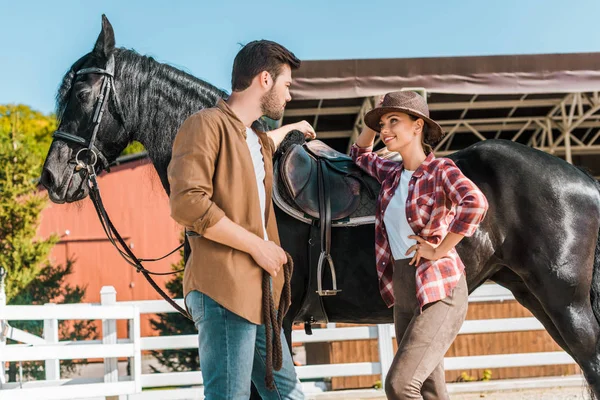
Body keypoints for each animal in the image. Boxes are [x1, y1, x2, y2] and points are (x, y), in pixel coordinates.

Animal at [42, 15, 600, 396]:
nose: (53, 177)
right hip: (534, 295)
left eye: (84, 92)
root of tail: (583, 179)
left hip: (564, 301)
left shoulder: (277, 318)